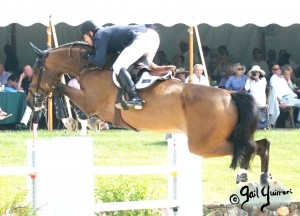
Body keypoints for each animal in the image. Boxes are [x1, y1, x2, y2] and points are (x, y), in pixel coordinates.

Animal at [27, 41, 270, 186]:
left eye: (37, 69)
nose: (30, 100)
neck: (90, 67)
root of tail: (230, 94)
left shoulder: (90, 102)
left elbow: (62, 90)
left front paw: (70, 118)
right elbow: (62, 90)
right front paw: (84, 122)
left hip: (204, 145)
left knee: (248, 147)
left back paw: (245, 178)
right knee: (261, 144)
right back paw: (261, 179)